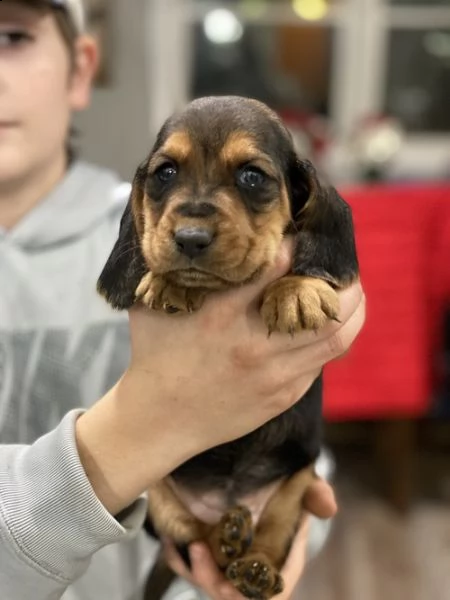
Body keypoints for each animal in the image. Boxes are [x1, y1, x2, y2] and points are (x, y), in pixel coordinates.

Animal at [98, 96, 358, 596]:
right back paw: (227, 535)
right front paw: (169, 282)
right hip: (158, 496)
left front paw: (297, 289)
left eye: (252, 176)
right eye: (165, 173)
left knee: (267, 540)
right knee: (197, 541)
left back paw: (252, 562)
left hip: (297, 483)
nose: (190, 239)